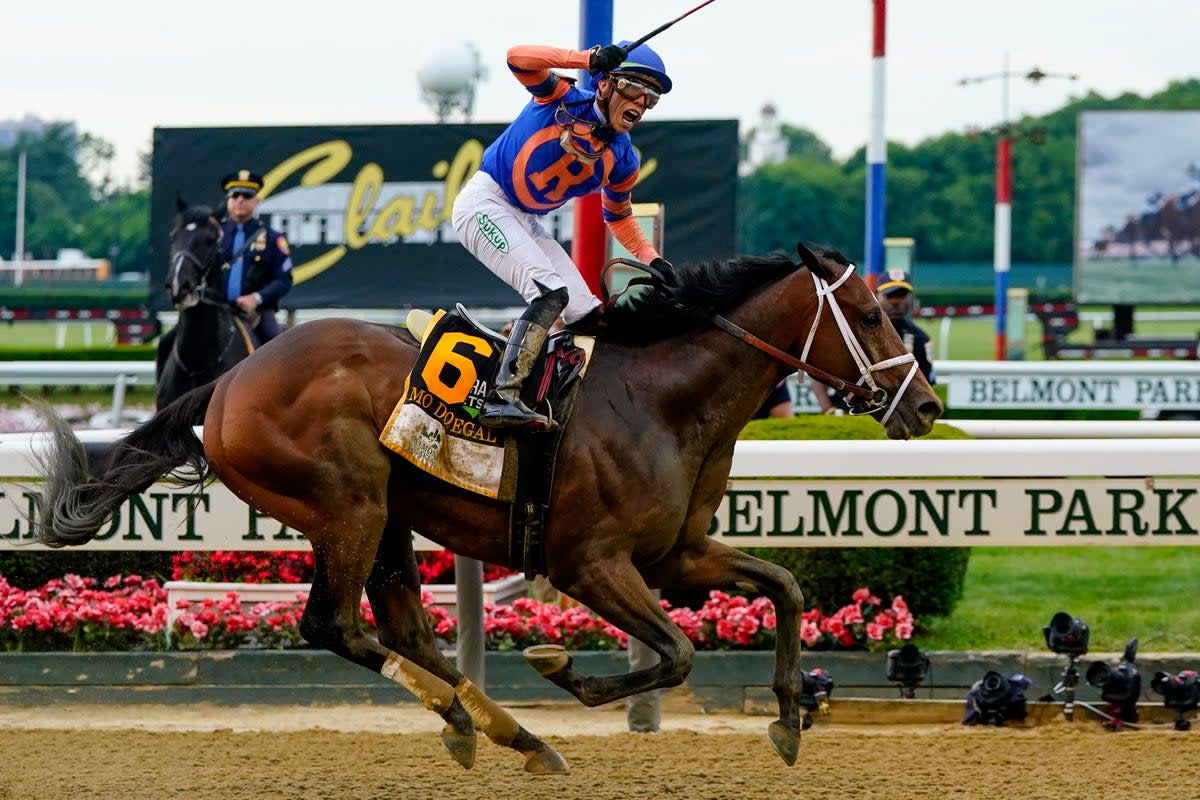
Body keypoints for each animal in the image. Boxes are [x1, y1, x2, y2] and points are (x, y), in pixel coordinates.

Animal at [32, 241, 940, 772]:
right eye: (870, 314)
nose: (927, 408)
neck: (662, 397)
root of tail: (229, 382)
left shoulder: (675, 554)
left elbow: (784, 587)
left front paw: (789, 716)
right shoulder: (588, 564)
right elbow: (680, 652)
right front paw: (564, 668)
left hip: (388, 514)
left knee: (401, 627)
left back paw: (502, 730)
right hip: (346, 505)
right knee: (335, 625)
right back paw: (490, 723)